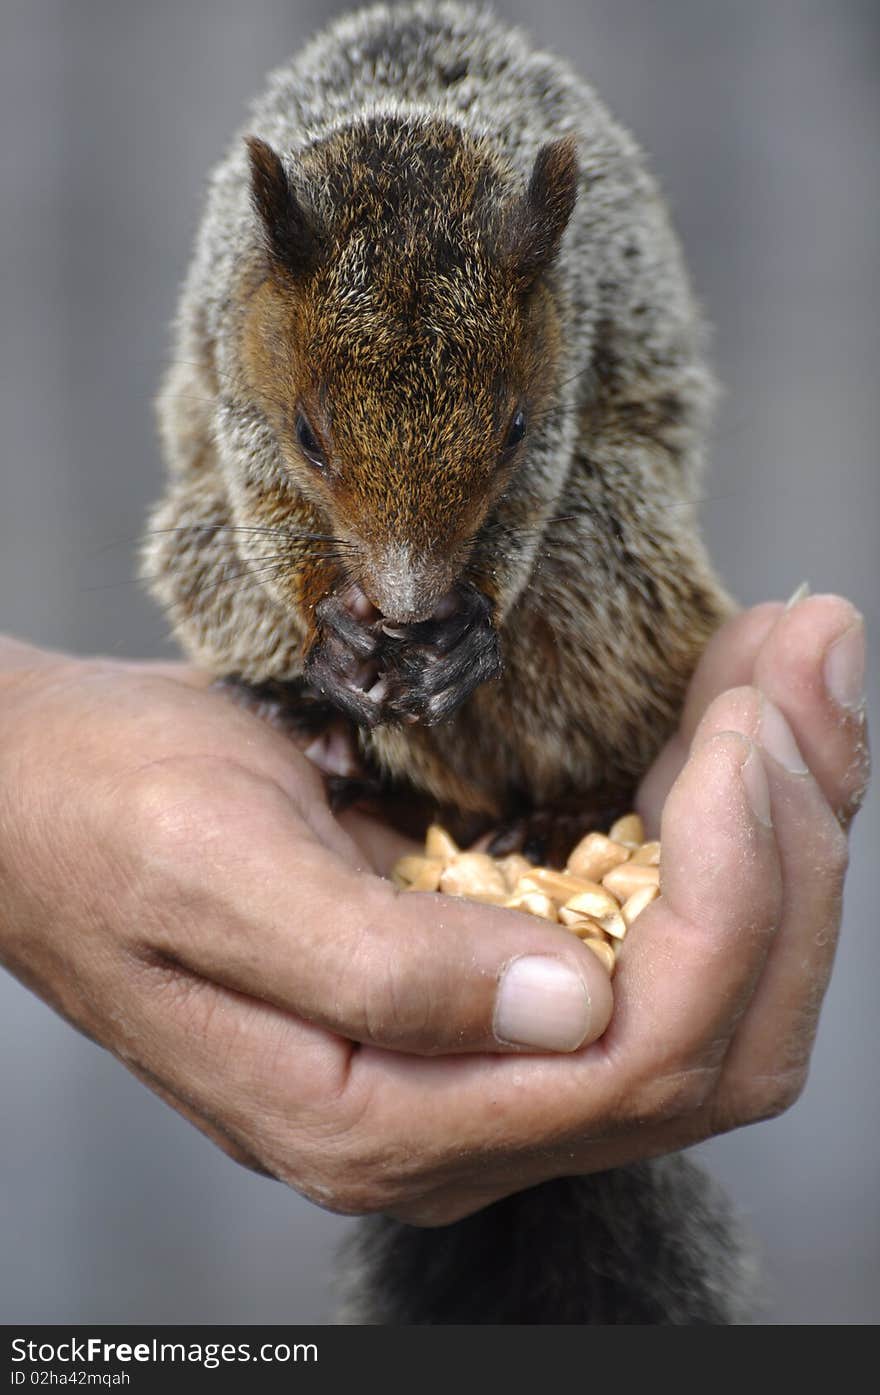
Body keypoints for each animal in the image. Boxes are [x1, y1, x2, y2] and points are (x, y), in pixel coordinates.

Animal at [140, 0, 753, 1322]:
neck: (409, 139)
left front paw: (471, 628)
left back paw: (556, 802)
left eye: (511, 430)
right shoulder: (233, 349)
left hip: (614, 536)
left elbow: (532, 506)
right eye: (312, 435)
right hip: (197, 536)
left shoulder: (571, 348)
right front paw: (330, 638)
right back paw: (325, 730)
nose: (411, 608)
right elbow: (263, 501)